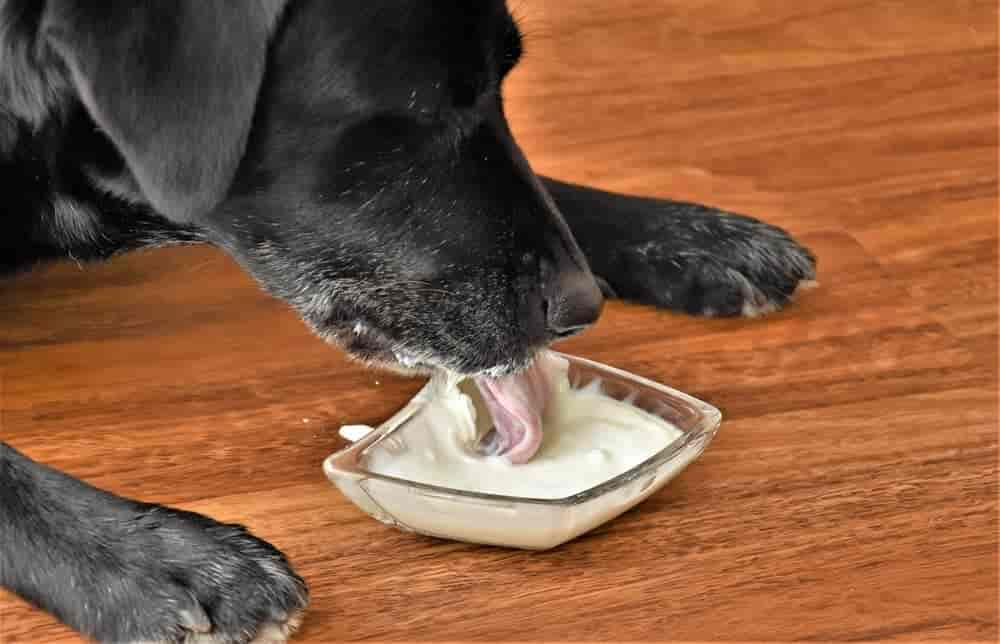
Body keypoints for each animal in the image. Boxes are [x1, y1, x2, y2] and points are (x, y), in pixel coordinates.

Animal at [0, 2, 812, 640]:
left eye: (500, 80)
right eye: (419, 111)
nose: (583, 307)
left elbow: (544, 188)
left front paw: (684, 232)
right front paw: (154, 559)